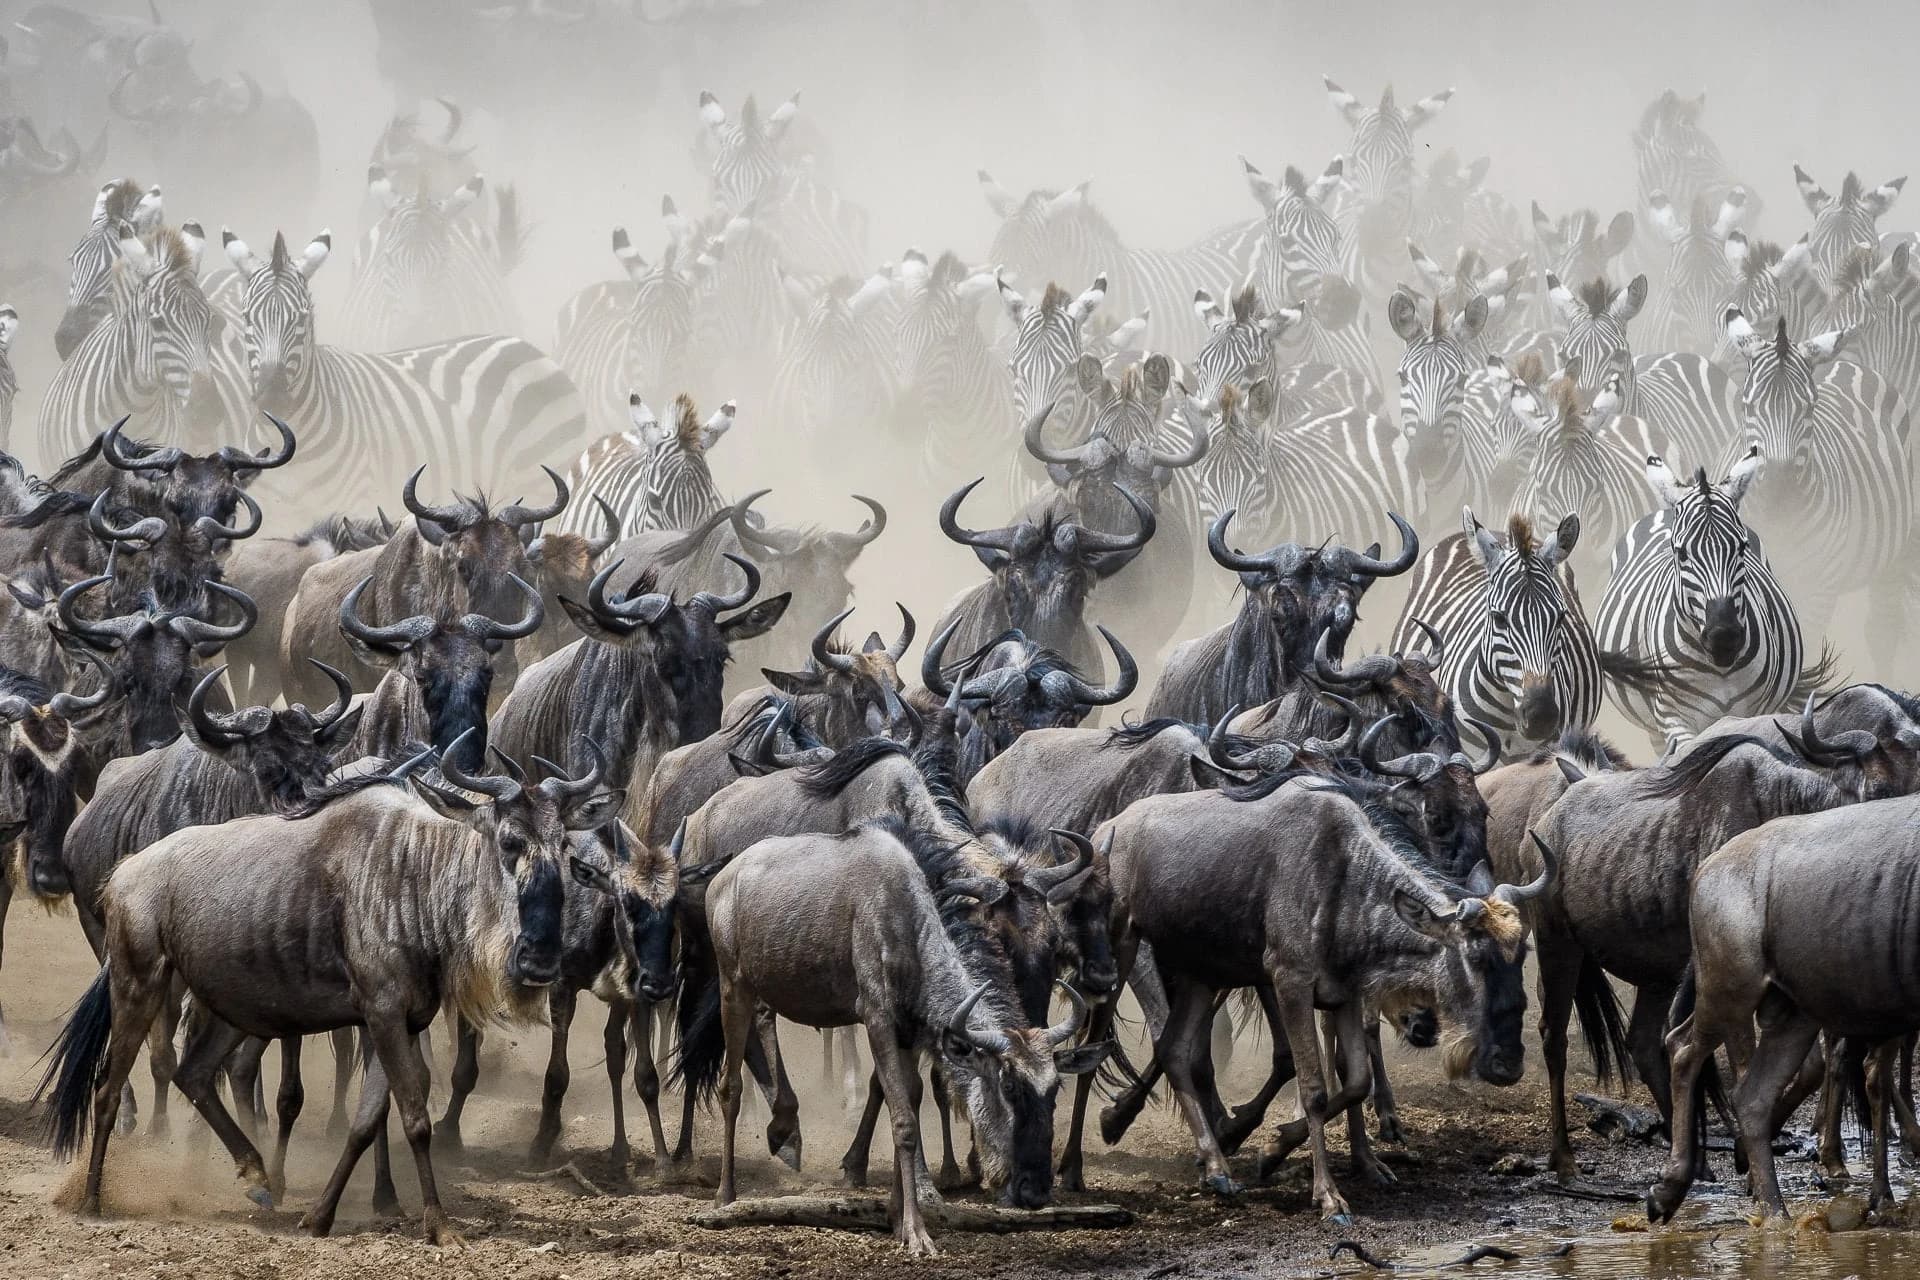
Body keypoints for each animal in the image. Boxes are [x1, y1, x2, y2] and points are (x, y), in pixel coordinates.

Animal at [1594, 448, 1808, 754]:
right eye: (1681, 552)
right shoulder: (1673, 719)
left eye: (1742, 547)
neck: (1719, 671)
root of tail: (1664, 510)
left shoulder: (1757, 711)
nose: (1724, 638)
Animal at [1719, 307, 1913, 666]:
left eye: (1809, 408)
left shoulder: (1818, 588)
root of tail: (1850, 365)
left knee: (1883, 628)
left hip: (1896, 554)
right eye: (1747, 406)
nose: (1778, 490)